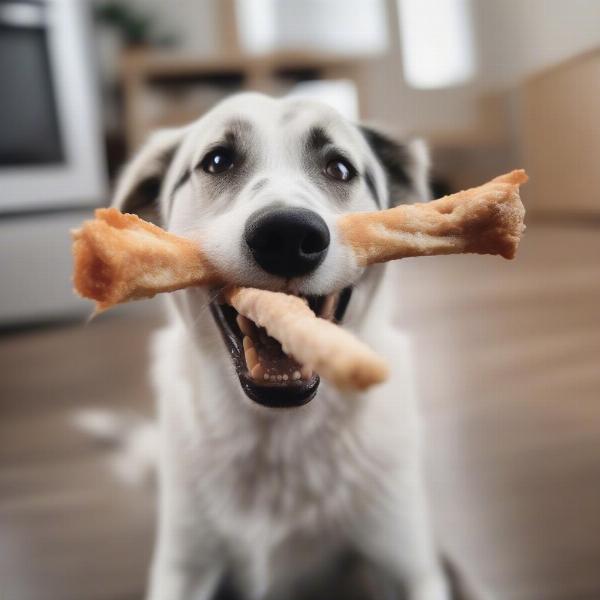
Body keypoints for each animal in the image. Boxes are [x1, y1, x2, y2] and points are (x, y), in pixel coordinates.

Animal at [106, 92, 474, 600]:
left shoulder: (410, 567)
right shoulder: (183, 567)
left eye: (339, 168)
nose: (286, 235)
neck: (279, 434)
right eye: (217, 160)